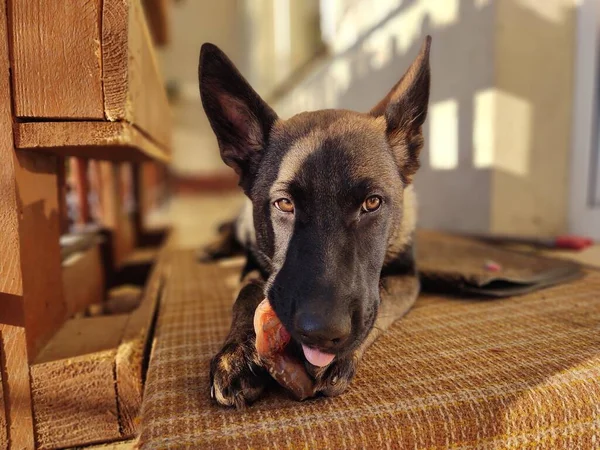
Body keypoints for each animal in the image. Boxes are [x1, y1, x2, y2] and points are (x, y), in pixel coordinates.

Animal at [200, 35, 432, 408]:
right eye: (284, 204)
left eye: (372, 203)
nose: (322, 334)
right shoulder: (253, 265)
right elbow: (247, 293)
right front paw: (236, 354)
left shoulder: (406, 277)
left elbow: (379, 298)